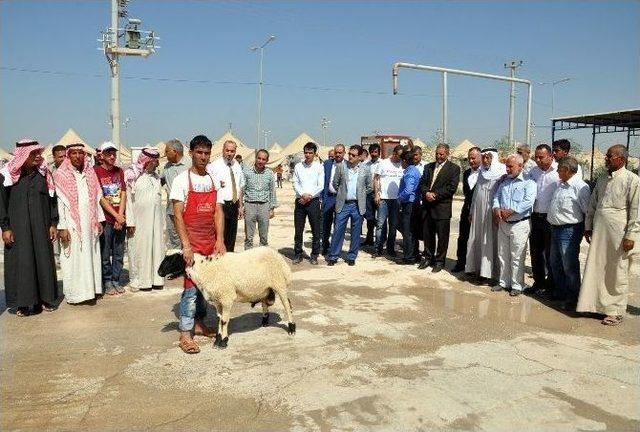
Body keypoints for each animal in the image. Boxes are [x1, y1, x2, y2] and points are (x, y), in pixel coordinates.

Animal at [158, 245, 296, 350]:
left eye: (173, 259)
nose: (159, 272)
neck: (204, 269)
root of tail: (277, 254)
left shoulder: (226, 297)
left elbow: (224, 321)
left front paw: (223, 342)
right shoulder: (218, 300)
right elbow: (219, 319)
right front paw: (217, 340)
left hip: (279, 283)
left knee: (287, 305)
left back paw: (291, 328)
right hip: (264, 288)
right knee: (265, 303)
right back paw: (265, 322)